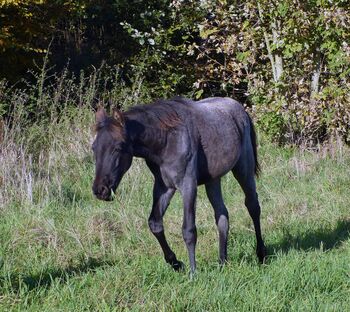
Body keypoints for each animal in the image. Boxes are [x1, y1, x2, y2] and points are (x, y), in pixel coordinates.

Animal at [91, 97, 266, 272]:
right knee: (222, 215)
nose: (100, 190)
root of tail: (240, 109)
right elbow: (155, 223)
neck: (167, 140)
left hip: (243, 170)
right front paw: (176, 263)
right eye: (94, 148)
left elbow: (189, 230)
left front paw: (193, 272)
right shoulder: (164, 187)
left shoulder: (188, 186)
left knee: (253, 206)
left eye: (117, 148)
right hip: (213, 180)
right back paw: (222, 262)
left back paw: (261, 254)